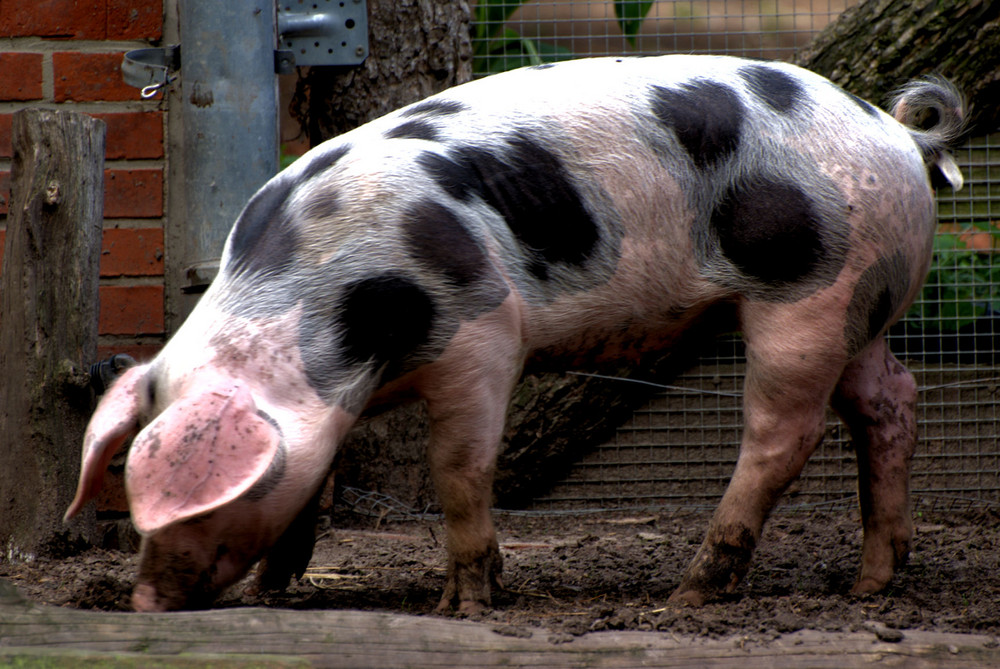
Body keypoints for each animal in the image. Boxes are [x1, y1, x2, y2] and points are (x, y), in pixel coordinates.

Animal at [64, 56, 968, 612]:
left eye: (185, 494)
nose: (144, 596)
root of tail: (901, 132)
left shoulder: (482, 333)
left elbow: (459, 468)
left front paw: (462, 602)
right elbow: (316, 481)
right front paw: (269, 592)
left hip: (809, 291)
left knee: (786, 429)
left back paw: (688, 593)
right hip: (864, 298)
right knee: (890, 399)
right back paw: (871, 583)